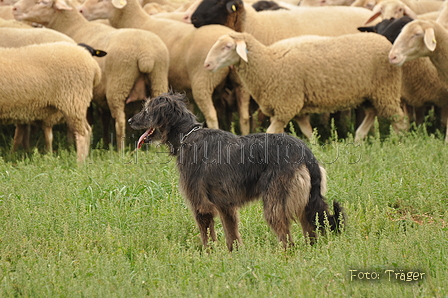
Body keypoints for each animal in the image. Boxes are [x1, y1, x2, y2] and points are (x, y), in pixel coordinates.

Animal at [13, 0, 170, 151]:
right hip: (158, 80)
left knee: (120, 120)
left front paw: (72, 143)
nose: (14, 9)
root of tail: (146, 55)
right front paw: (105, 141)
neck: (74, 26)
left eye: (43, 2)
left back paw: (120, 150)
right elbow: (104, 118)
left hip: (118, 85)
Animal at [77, 0, 252, 135]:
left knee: (212, 115)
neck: (139, 22)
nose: (81, 10)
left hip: (203, 79)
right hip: (241, 81)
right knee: (244, 115)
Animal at [128, 91, 344, 251]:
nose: (130, 120)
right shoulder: (226, 206)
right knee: (312, 232)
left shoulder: (201, 206)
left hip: (276, 203)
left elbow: (208, 237)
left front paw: (208, 257)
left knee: (287, 240)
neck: (188, 135)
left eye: (146, 110)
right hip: (306, 203)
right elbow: (232, 236)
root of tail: (305, 152)